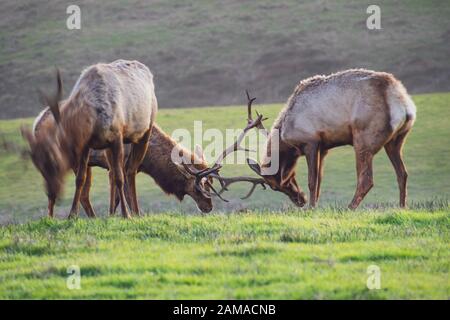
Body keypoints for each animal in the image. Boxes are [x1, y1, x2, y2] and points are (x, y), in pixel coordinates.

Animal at [21, 60, 158, 219]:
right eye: (38, 166)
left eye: (55, 162)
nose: (51, 193)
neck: (91, 122)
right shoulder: (86, 145)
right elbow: (80, 179)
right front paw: (72, 215)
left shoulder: (117, 137)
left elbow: (119, 177)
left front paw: (126, 214)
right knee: (118, 171)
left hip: (145, 132)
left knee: (130, 170)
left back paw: (135, 212)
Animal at [223, 69, 416, 209]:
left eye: (276, 185)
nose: (300, 201)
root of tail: (403, 104)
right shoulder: (324, 148)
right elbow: (320, 180)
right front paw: (314, 205)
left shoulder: (311, 142)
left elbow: (311, 180)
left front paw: (311, 207)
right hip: (397, 140)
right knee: (402, 173)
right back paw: (402, 207)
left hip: (364, 138)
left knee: (366, 179)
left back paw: (349, 208)